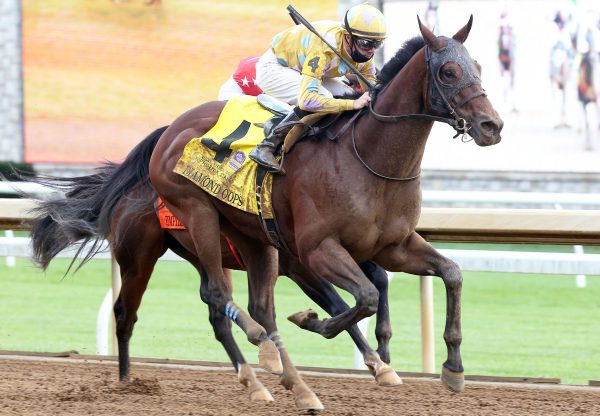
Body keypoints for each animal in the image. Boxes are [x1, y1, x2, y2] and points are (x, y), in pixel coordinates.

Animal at [25, 128, 398, 412]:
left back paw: (253, 380)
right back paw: (127, 382)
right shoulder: (303, 264)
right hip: (139, 256)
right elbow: (341, 303)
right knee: (125, 313)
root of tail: (134, 185)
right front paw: (369, 356)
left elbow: (376, 282)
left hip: (197, 252)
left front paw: (382, 357)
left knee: (215, 309)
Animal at [149, 16, 502, 398]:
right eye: (448, 72)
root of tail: (170, 129)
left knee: (258, 303)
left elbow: (451, 273)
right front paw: (313, 320)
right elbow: (362, 298)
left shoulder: (393, 246)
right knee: (217, 293)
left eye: (478, 67)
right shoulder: (317, 249)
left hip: (250, 232)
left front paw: (453, 366)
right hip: (198, 215)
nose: (492, 126)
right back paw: (259, 369)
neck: (368, 159)